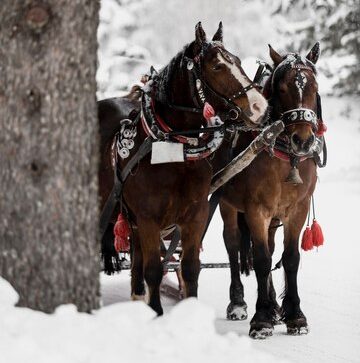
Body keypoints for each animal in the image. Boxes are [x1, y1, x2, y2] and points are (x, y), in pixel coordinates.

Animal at [97, 22, 268, 318]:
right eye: (217, 66)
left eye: (236, 60)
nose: (260, 106)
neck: (175, 149)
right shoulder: (149, 218)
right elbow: (154, 270)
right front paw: (156, 312)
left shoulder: (194, 215)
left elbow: (189, 269)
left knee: (137, 262)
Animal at [218, 42, 324, 338]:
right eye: (283, 89)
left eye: (314, 86)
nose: (303, 140)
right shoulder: (256, 209)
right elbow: (262, 259)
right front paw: (262, 317)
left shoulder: (297, 209)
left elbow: (290, 258)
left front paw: (294, 314)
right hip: (227, 205)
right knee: (233, 244)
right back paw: (238, 303)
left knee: (270, 245)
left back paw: (275, 303)